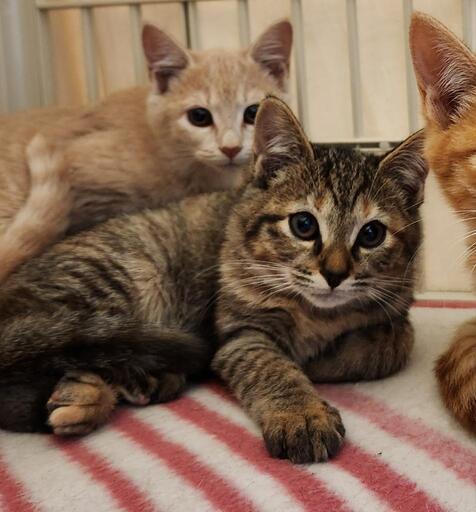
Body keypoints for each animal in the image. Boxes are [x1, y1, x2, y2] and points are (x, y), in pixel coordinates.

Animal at [0, 96, 426, 464]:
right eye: (303, 225)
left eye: (371, 234)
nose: (335, 274)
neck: (318, 314)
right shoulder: (240, 334)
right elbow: (271, 367)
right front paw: (301, 414)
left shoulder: (397, 307)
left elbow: (396, 341)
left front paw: (331, 357)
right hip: (118, 280)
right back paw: (85, 395)